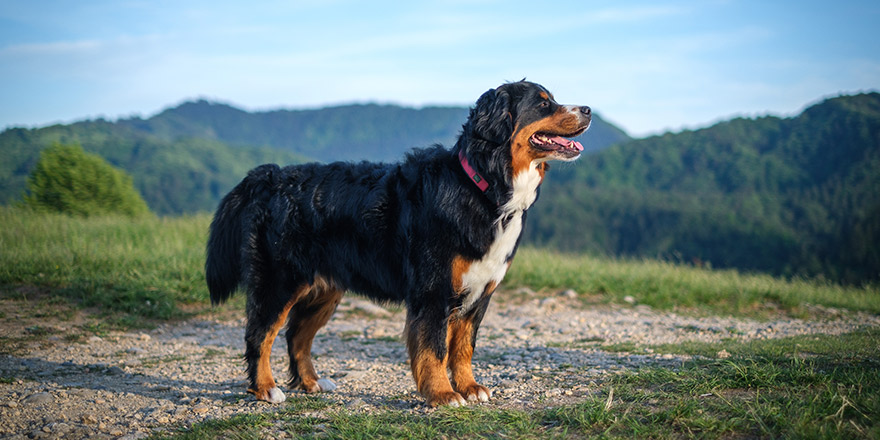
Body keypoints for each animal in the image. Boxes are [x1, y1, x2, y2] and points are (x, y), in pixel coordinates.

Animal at [206, 81, 592, 408]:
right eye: (543, 104)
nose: (588, 109)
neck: (483, 187)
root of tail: (270, 176)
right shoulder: (433, 290)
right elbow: (434, 348)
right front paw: (443, 394)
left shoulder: (479, 295)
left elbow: (463, 348)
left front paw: (469, 387)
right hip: (280, 282)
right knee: (260, 335)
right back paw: (265, 388)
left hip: (325, 290)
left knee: (296, 336)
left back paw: (311, 382)